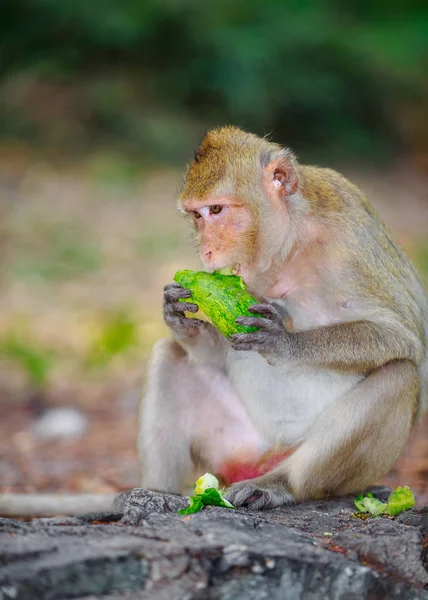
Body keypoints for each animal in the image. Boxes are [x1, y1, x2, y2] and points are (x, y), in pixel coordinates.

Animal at [138, 125, 428, 506]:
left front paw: (284, 342)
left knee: (398, 374)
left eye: (216, 209)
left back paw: (280, 484)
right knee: (169, 356)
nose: (206, 250)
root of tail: (265, 457)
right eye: (196, 216)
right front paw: (175, 313)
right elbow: (211, 353)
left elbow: (405, 339)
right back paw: (158, 492)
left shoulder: (350, 243)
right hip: (233, 444)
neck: (289, 246)